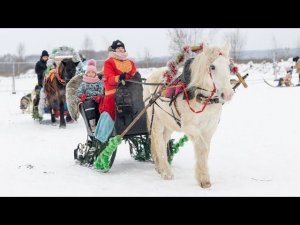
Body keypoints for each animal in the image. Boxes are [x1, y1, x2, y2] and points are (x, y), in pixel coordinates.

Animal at [144, 42, 234, 188]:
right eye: (212, 67)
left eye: (229, 66)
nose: (228, 94)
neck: (201, 97)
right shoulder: (190, 127)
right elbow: (202, 148)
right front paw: (203, 179)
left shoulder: (209, 128)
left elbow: (206, 150)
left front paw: (203, 176)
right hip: (156, 120)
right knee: (158, 142)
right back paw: (166, 172)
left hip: (168, 123)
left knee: (163, 141)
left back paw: (160, 167)